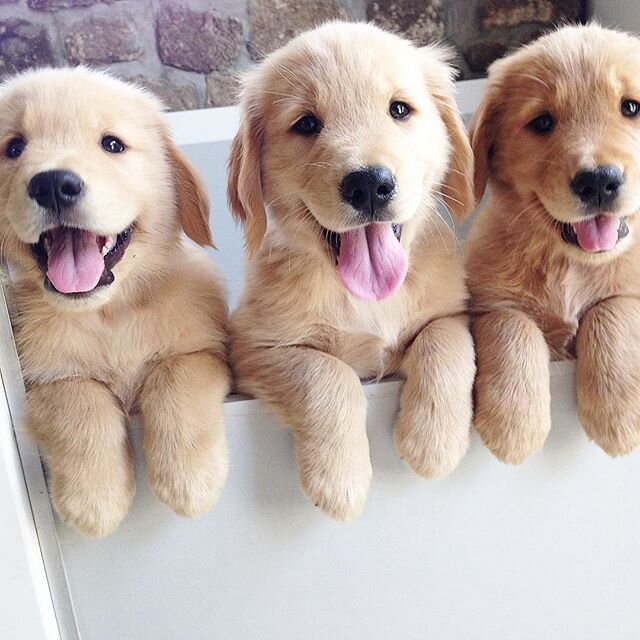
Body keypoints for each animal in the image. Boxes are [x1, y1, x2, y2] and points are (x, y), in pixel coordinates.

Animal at [0, 67, 230, 537]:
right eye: (13, 147)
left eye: (112, 144)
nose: (53, 184)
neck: (109, 314)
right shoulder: (44, 380)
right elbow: (79, 403)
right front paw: (94, 501)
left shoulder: (201, 350)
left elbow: (174, 377)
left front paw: (190, 480)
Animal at [227, 22, 476, 520]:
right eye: (306, 123)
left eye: (399, 109)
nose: (369, 184)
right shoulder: (255, 347)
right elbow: (326, 374)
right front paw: (339, 480)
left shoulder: (452, 312)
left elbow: (444, 343)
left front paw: (433, 442)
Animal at [467, 24, 640, 462]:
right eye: (543, 122)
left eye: (631, 107)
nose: (598, 181)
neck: (571, 263)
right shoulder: (488, 303)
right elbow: (512, 328)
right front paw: (514, 424)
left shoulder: (631, 296)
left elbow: (612, 310)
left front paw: (618, 415)